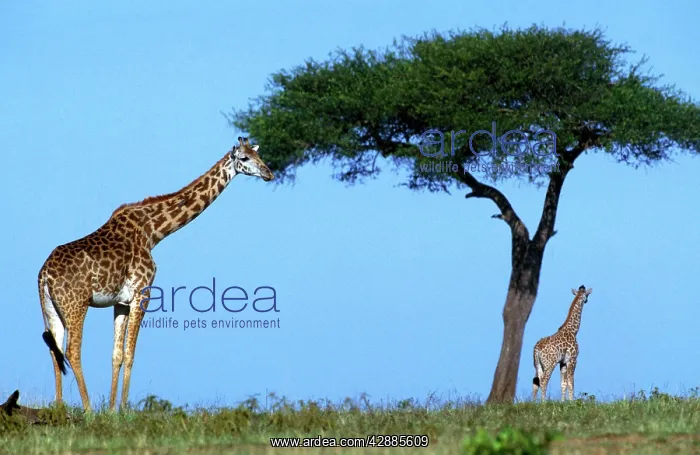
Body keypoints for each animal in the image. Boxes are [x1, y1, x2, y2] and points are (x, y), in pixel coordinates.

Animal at [38, 137, 274, 412]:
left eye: (258, 156)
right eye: (244, 159)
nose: (269, 173)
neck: (153, 232)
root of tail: (44, 275)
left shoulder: (121, 302)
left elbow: (116, 355)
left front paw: (112, 410)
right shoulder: (143, 293)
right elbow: (130, 354)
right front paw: (124, 410)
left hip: (51, 308)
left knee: (55, 350)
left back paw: (59, 408)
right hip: (76, 304)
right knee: (72, 351)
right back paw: (87, 410)